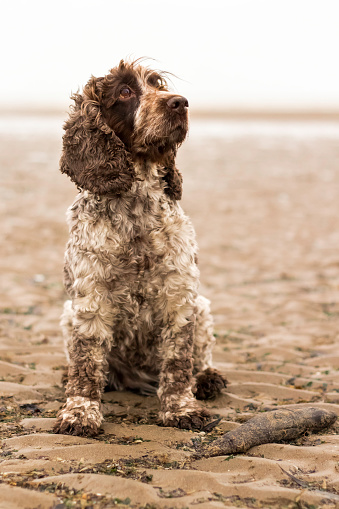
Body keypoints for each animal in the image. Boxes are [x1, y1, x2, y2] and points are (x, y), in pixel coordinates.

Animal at [53, 57, 227, 434]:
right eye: (125, 92)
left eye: (158, 85)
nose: (180, 102)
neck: (136, 208)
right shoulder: (90, 300)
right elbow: (86, 365)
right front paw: (79, 412)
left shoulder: (179, 297)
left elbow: (178, 363)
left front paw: (181, 410)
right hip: (67, 314)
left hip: (202, 307)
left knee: (202, 357)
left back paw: (208, 379)